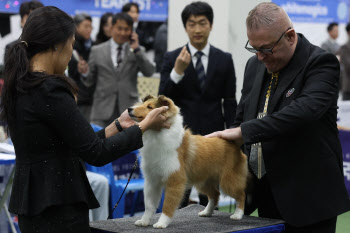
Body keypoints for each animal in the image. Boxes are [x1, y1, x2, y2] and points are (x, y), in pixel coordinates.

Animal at [129, 95, 249, 229]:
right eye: (141, 104)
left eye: (149, 107)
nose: (129, 109)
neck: (157, 134)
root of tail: (233, 143)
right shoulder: (152, 181)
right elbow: (149, 205)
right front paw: (144, 221)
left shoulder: (175, 180)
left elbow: (168, 205)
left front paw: (161, 223)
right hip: (204, 181)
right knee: (215, 194)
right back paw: (206, 212)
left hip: (228, 181)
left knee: (241, 195)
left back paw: (237, 215)